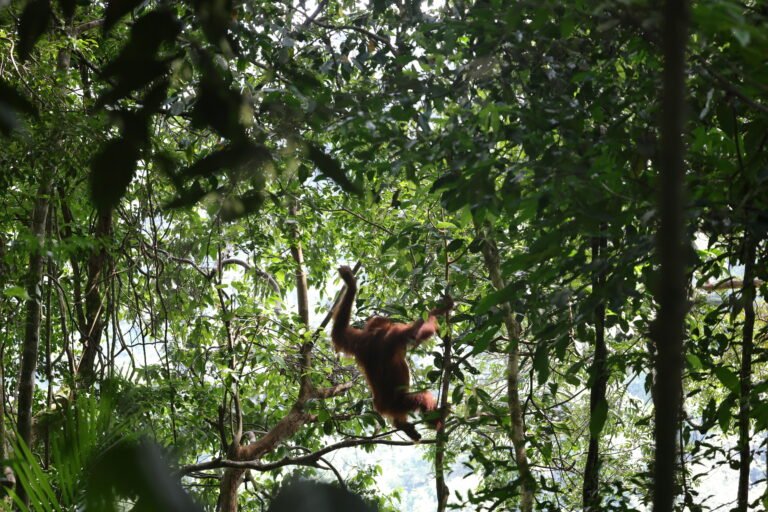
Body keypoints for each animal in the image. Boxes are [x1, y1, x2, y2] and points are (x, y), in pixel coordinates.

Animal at [331, 265, 453, 441]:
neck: (374, 334)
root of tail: (382, 407)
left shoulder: (356, 340)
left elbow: (338, 332)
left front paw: (350, 284)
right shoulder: (395, 333)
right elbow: (417, 331)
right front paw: (443, 308)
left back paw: (404, 426)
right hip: (401, 402)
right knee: (423, 397)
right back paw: (436, 420)